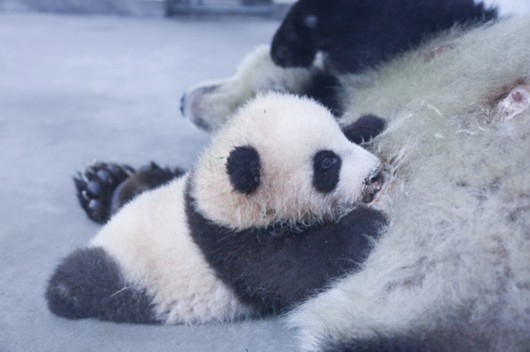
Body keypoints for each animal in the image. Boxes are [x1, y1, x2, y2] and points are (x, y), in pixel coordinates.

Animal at [47, 92, 386, 324]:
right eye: (327, 164)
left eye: (339, 138)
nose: (374, 172)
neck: (213, 197)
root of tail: (101, 238)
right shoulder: (235, 246)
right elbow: (295, 269)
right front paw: (367, 221)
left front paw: (368, 123)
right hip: (126, 276)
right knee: (80, 280)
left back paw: (109, 187)